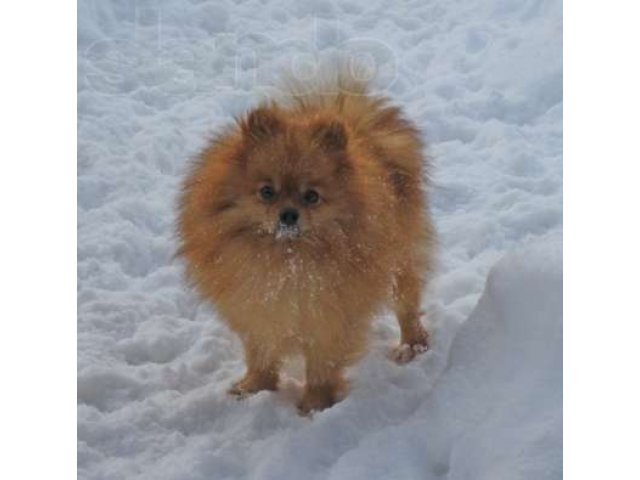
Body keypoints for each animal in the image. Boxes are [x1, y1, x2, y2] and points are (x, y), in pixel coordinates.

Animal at [179, 69, 436, 414]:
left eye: (311, 196)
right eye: (267, 191)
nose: (289, 214)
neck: (287, 261)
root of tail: (360, 128)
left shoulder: (329, 319)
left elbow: (321, 366)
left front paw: (315, 405)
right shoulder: (257, 311)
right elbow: (260, 354)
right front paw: (254, 388)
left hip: (400, 261)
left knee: (407, 304)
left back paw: (411, 344)